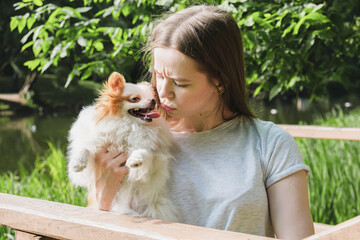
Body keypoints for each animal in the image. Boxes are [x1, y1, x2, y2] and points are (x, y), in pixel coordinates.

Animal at [67, 72, 177, 222]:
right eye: (135, 99)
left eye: (153, 99)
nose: (153, 101)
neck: (129, 125)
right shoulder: (96, 140)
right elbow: (85, 148)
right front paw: (77, 163)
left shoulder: (153, 157)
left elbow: (144, 152)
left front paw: (135, 160)